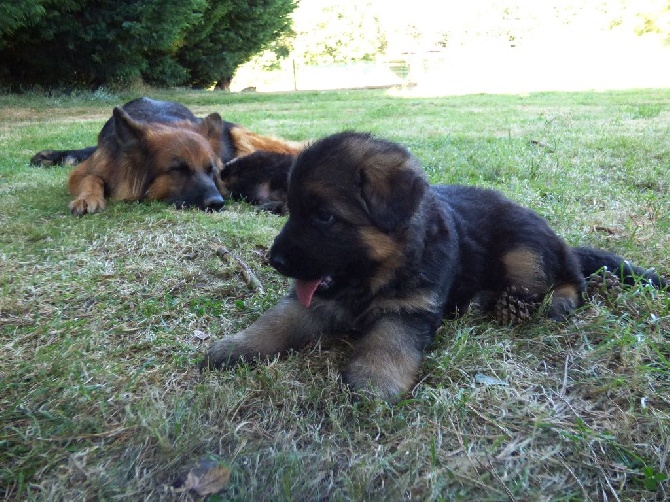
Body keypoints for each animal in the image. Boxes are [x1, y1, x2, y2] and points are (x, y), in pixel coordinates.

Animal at [31, 98, 304, 216]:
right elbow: (91, 178)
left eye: (211, 170)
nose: (218, 203)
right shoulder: (87, 169)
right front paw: (87, 198)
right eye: (178, 170)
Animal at [202, 132, 668, 400]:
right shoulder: (315, 298)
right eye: (293, 210)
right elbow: (277, 321)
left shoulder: (410, 309)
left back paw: (558, 302)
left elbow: (388, 342)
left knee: (569, 276)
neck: (378, 275)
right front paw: (236, 346)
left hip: (523, 245)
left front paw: (373, 383)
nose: (274, 260)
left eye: (325, 217)